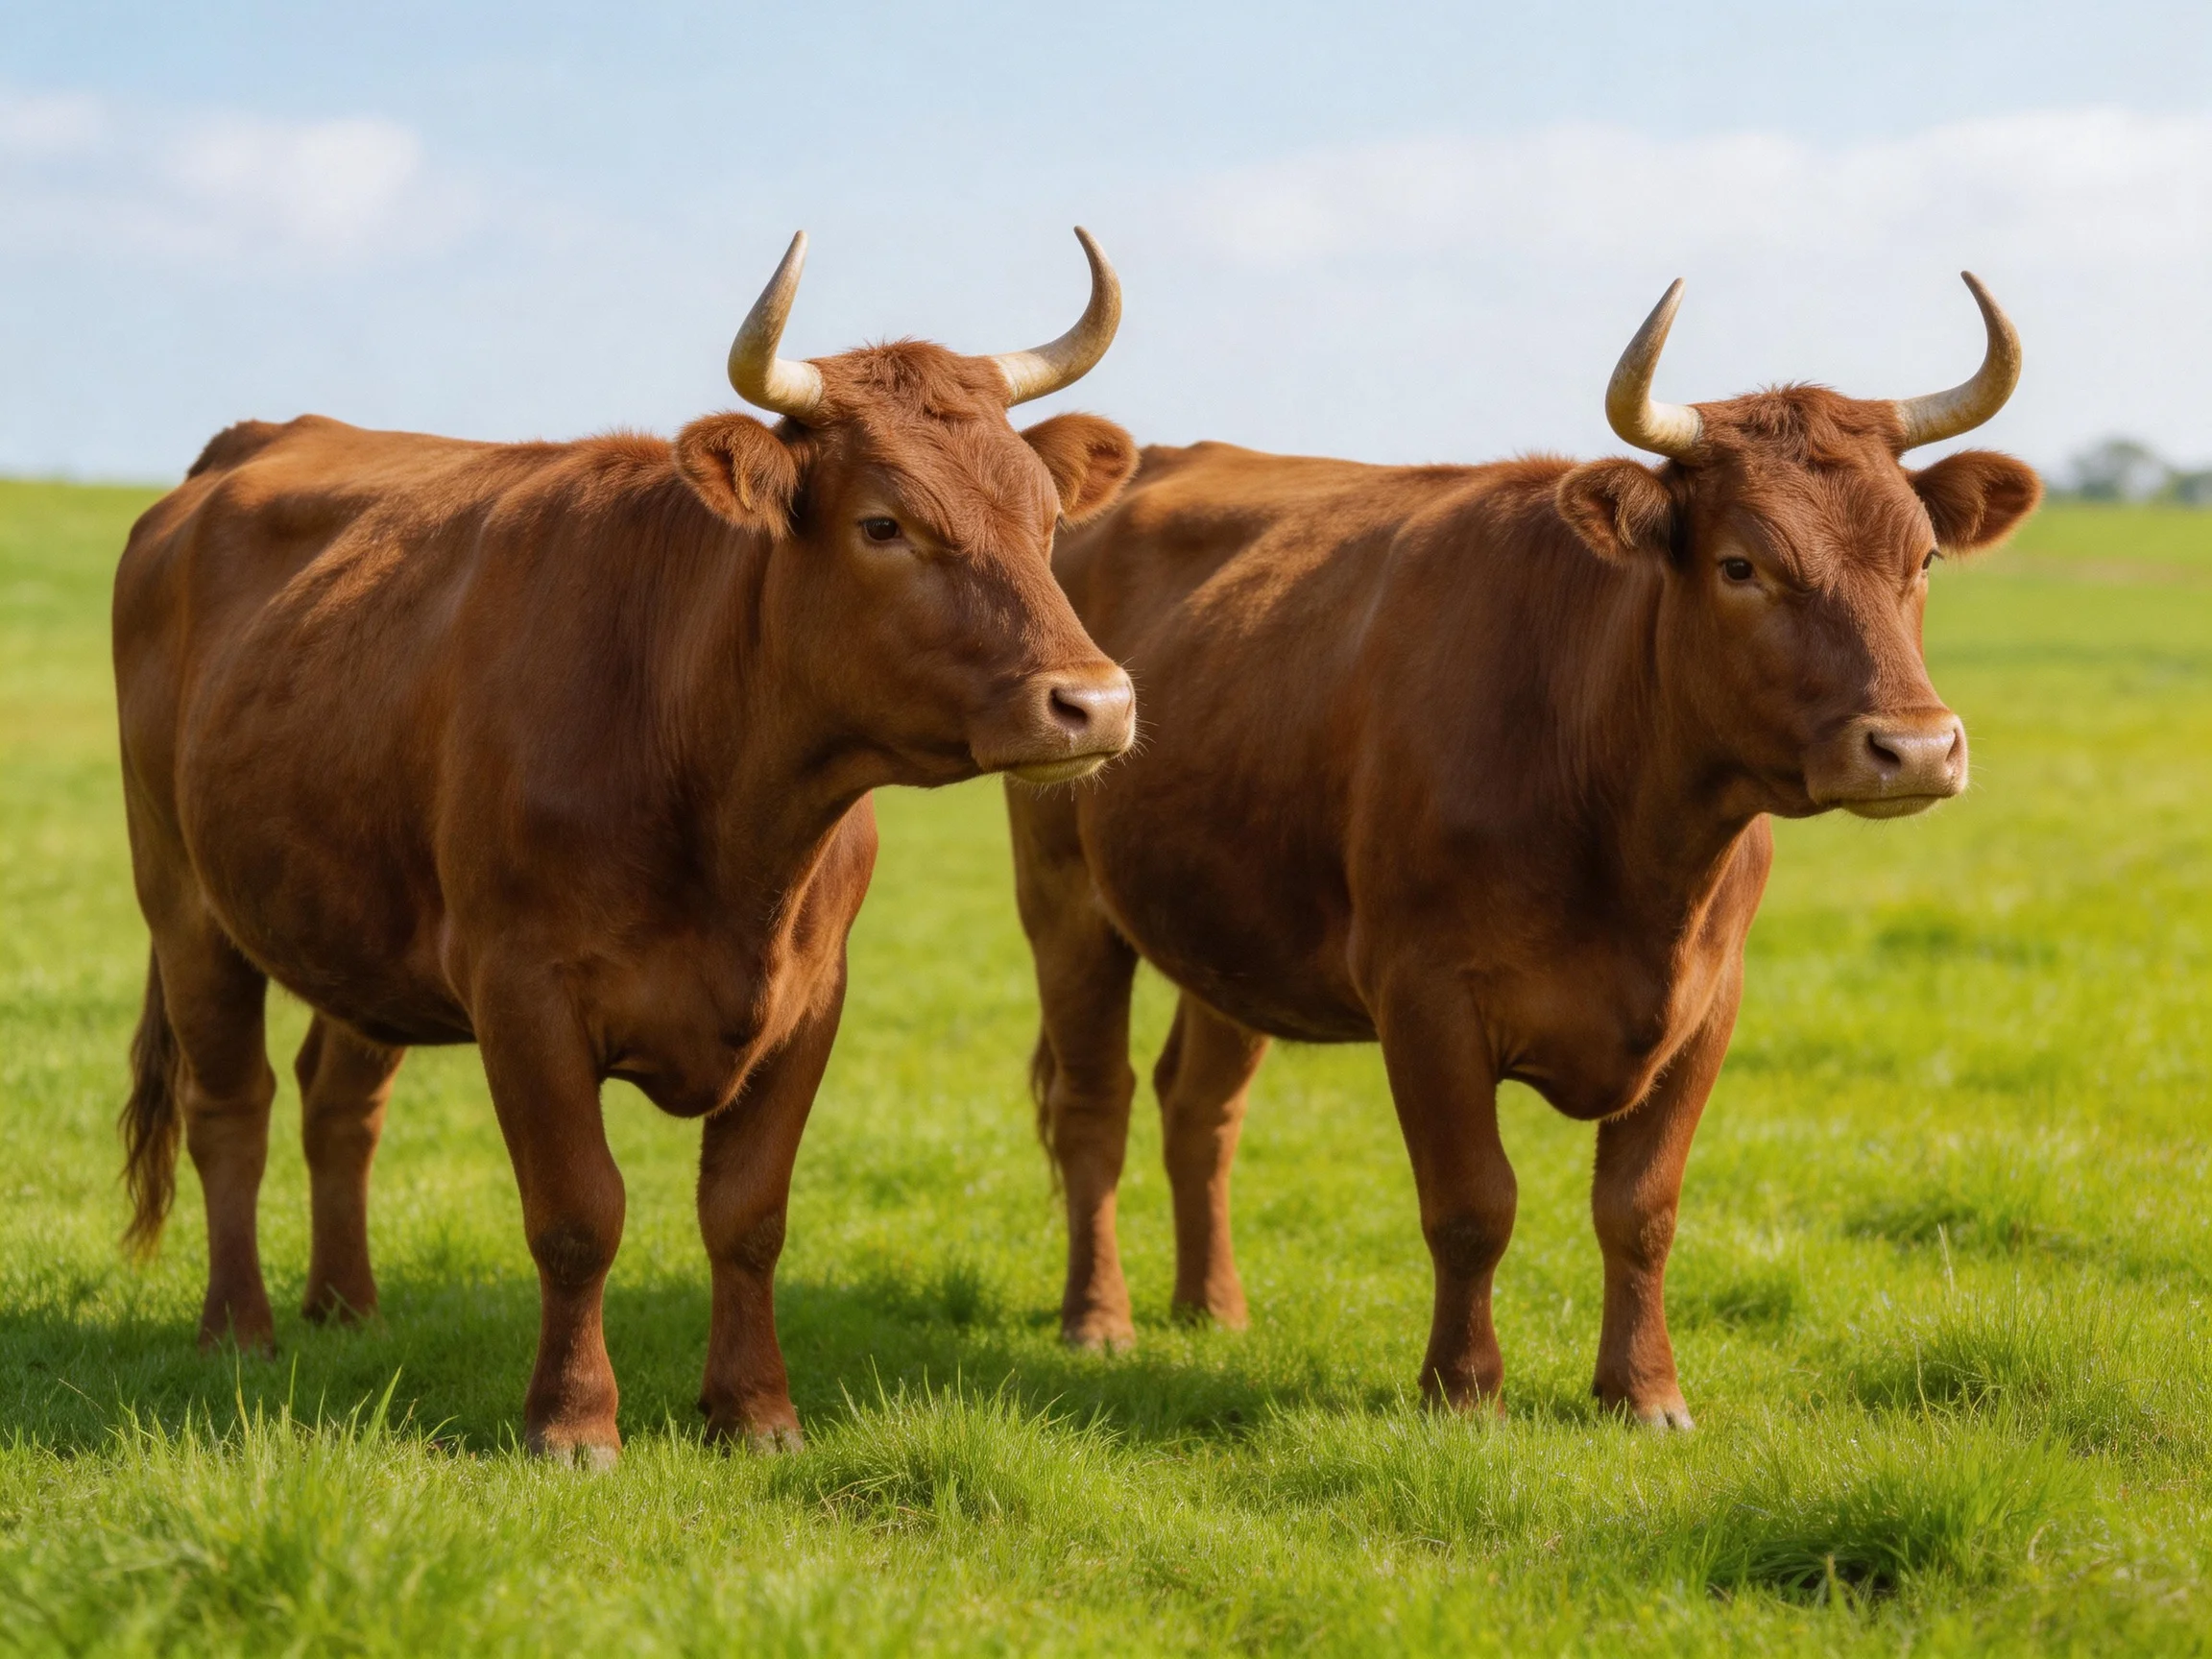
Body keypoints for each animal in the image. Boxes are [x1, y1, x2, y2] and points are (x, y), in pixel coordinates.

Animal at [113, 229, 1143, 1461]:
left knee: (337, 1104)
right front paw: (571, 1423)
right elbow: (577, 1213)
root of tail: (246, 447)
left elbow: (748, 1215)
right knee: (233, 1110)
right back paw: (241, 1332)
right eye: (884, 523)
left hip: (351, 916)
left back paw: (348, 1310)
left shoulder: (813, 997)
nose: (1095, 701)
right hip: (184, 903)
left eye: (1046, 520)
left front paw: (756, 1411)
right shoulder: (523, 991)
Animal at [1010, 275, 2042, 1426]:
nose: (1915, 747)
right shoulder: (1424, 996)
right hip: (1064, 900)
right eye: (1742, 564)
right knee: (1094, 1106)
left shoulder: (1709, 1005)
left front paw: (1644, 1392)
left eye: (1923, 559)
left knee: (1200, 1106)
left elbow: (1641, 1207)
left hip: (1228, 927)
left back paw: (1212, 1310)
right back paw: (1099, 1321)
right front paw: (1463, 1391)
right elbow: (1473, 1203)